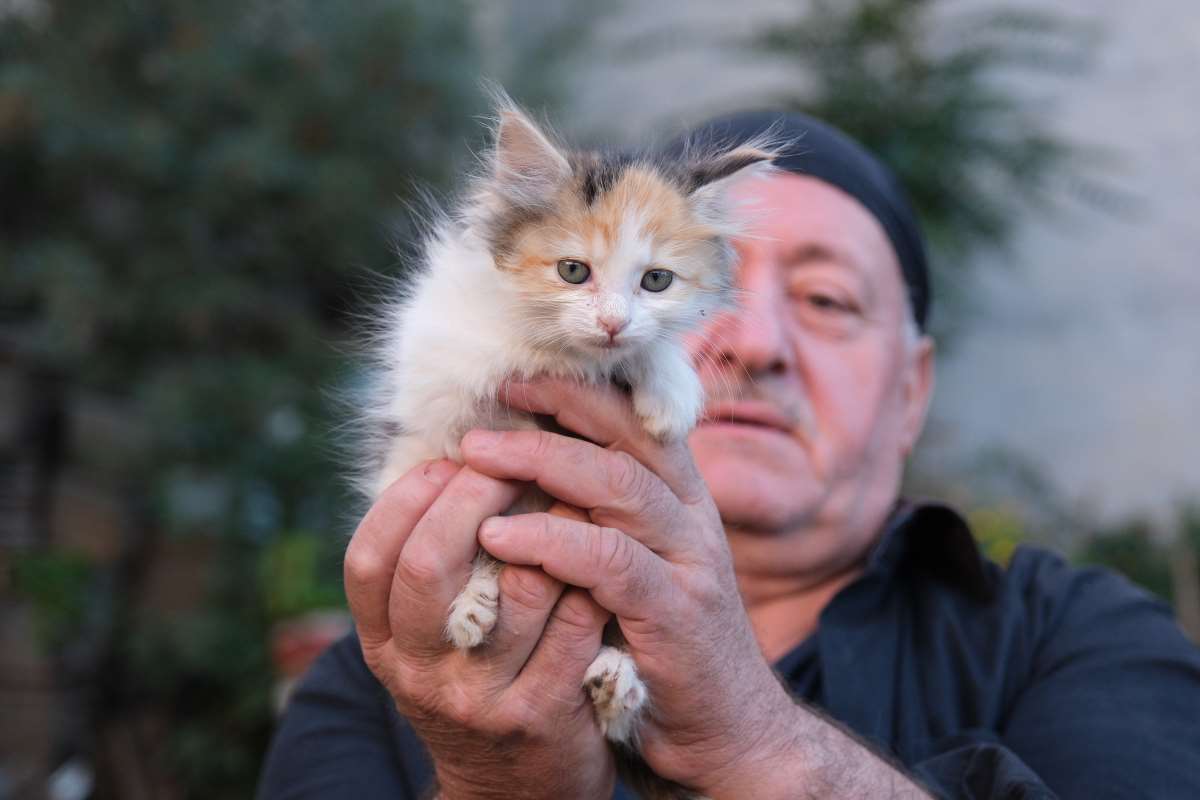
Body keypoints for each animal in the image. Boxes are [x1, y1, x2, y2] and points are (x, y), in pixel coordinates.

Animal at [355, 90, 772, 796]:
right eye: (573, 271)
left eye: (656, 282)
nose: (611, 324)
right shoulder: (438, 382)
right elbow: (517, 354)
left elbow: (641, 354)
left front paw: (664, 390)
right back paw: (475, 608)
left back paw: (616, 683)